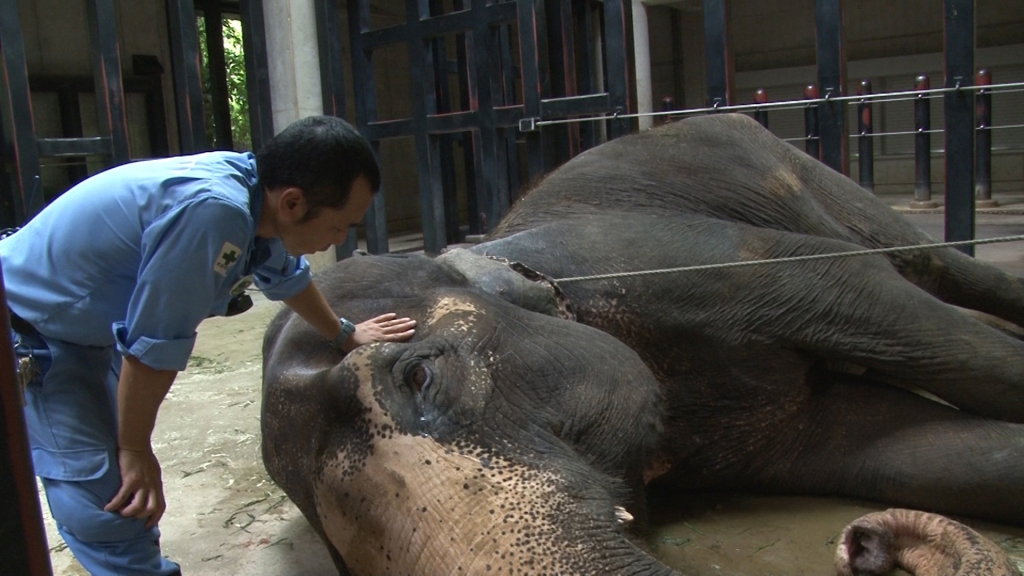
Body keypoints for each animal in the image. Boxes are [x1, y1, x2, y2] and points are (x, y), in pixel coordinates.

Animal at [262, 113, 1024, 573]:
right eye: (343, 561)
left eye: (418, 376)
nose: (863, 544)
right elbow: (901, 450)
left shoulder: (685, 264)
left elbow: (880, 302)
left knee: (935, 270)